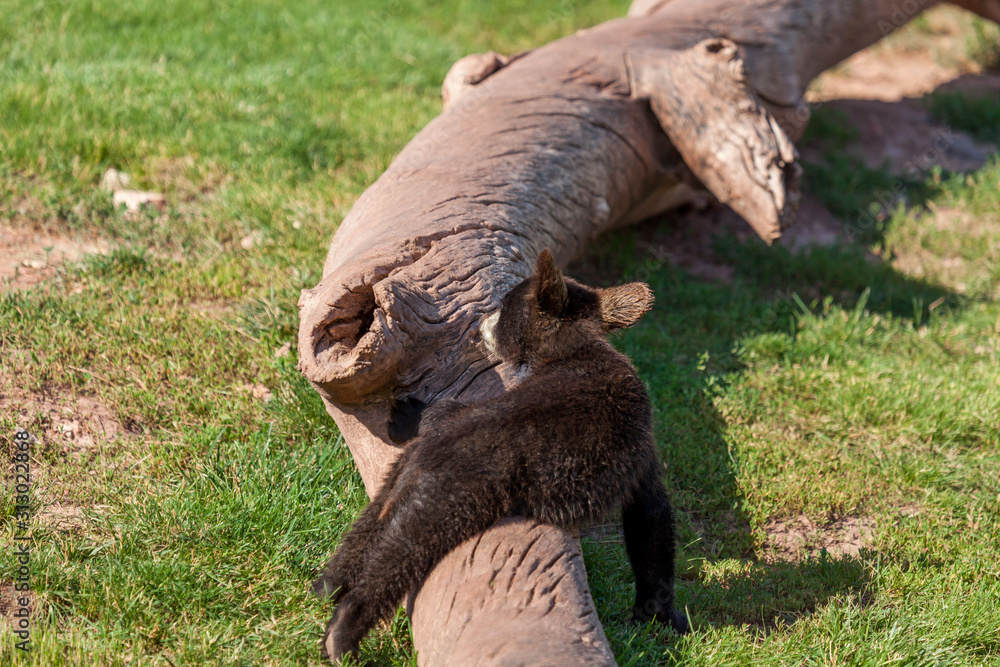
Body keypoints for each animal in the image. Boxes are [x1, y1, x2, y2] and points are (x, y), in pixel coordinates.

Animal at [312, 248, 687, 662]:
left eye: (505, 306)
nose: (478, 325)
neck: (576, 348)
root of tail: (428, 458)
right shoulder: (639, 446)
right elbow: (651, 520)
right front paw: (659, 615)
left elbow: (650, 519)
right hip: (451, 502)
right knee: (397, 557)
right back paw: (341, 637)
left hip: (420, 487)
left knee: (374, 529)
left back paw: (328, 586)